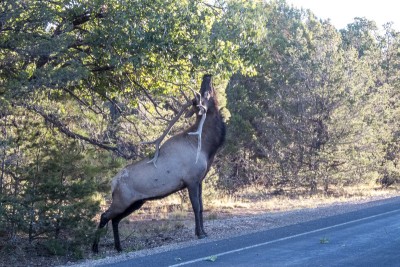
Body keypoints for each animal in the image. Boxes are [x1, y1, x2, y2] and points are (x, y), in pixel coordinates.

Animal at [92, 75, 227, 253]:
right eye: (205, 92)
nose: (207, 76)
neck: (207, 147)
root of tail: (113, 183)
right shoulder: (191, 180)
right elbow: (196, 207)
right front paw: (199, 233)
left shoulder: (199, 180)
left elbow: (202, 207)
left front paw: (203, 231)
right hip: (122, 199)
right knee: (104, 216)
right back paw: (95, 248)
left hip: (135, 202)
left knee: (115, 219)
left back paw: (119, 247)